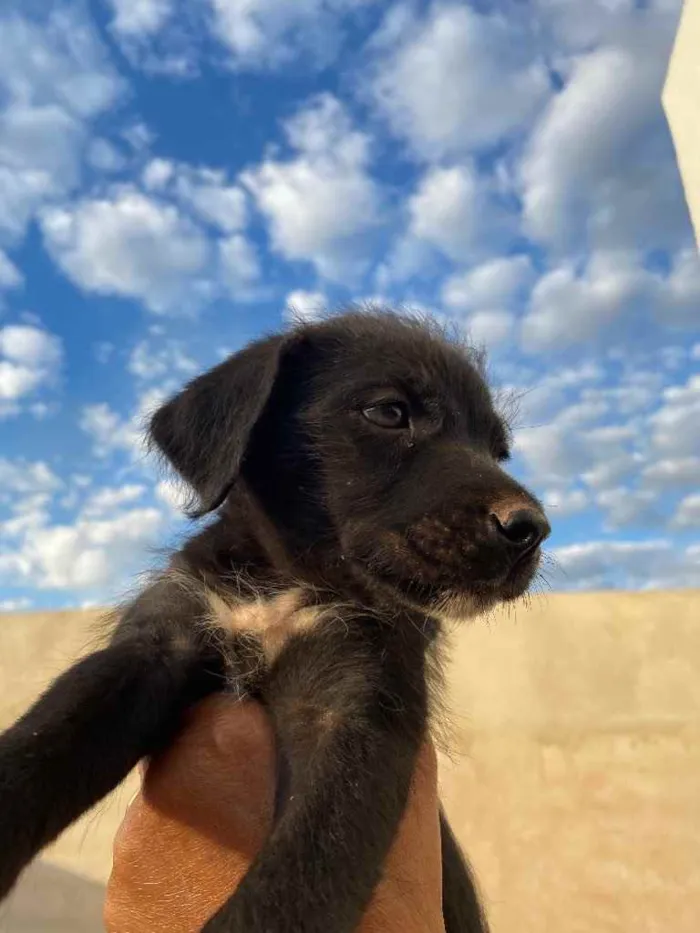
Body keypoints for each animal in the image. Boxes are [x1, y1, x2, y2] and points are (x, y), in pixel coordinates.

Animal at [0, 310, 548, 928]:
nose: (532, 530)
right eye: (389, 411)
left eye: (497, 450)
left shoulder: (355, 708)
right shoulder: (156, 642)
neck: (287, 586)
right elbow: (39, 745)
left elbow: (294, 887)